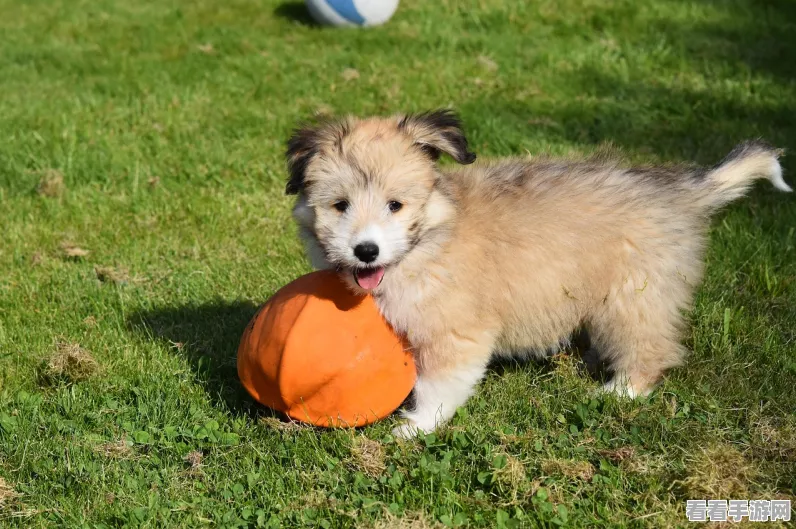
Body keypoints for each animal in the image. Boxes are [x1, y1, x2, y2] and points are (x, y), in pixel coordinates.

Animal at [282, 109, 788, 436]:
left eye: (395, 205)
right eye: (340, 205)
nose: (366, 251)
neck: (429, 242)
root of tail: (683, 192)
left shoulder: (456, 333)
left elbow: (437, 384)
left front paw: (416, 428)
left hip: (633, 295)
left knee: (649, 349)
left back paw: (620, 392)